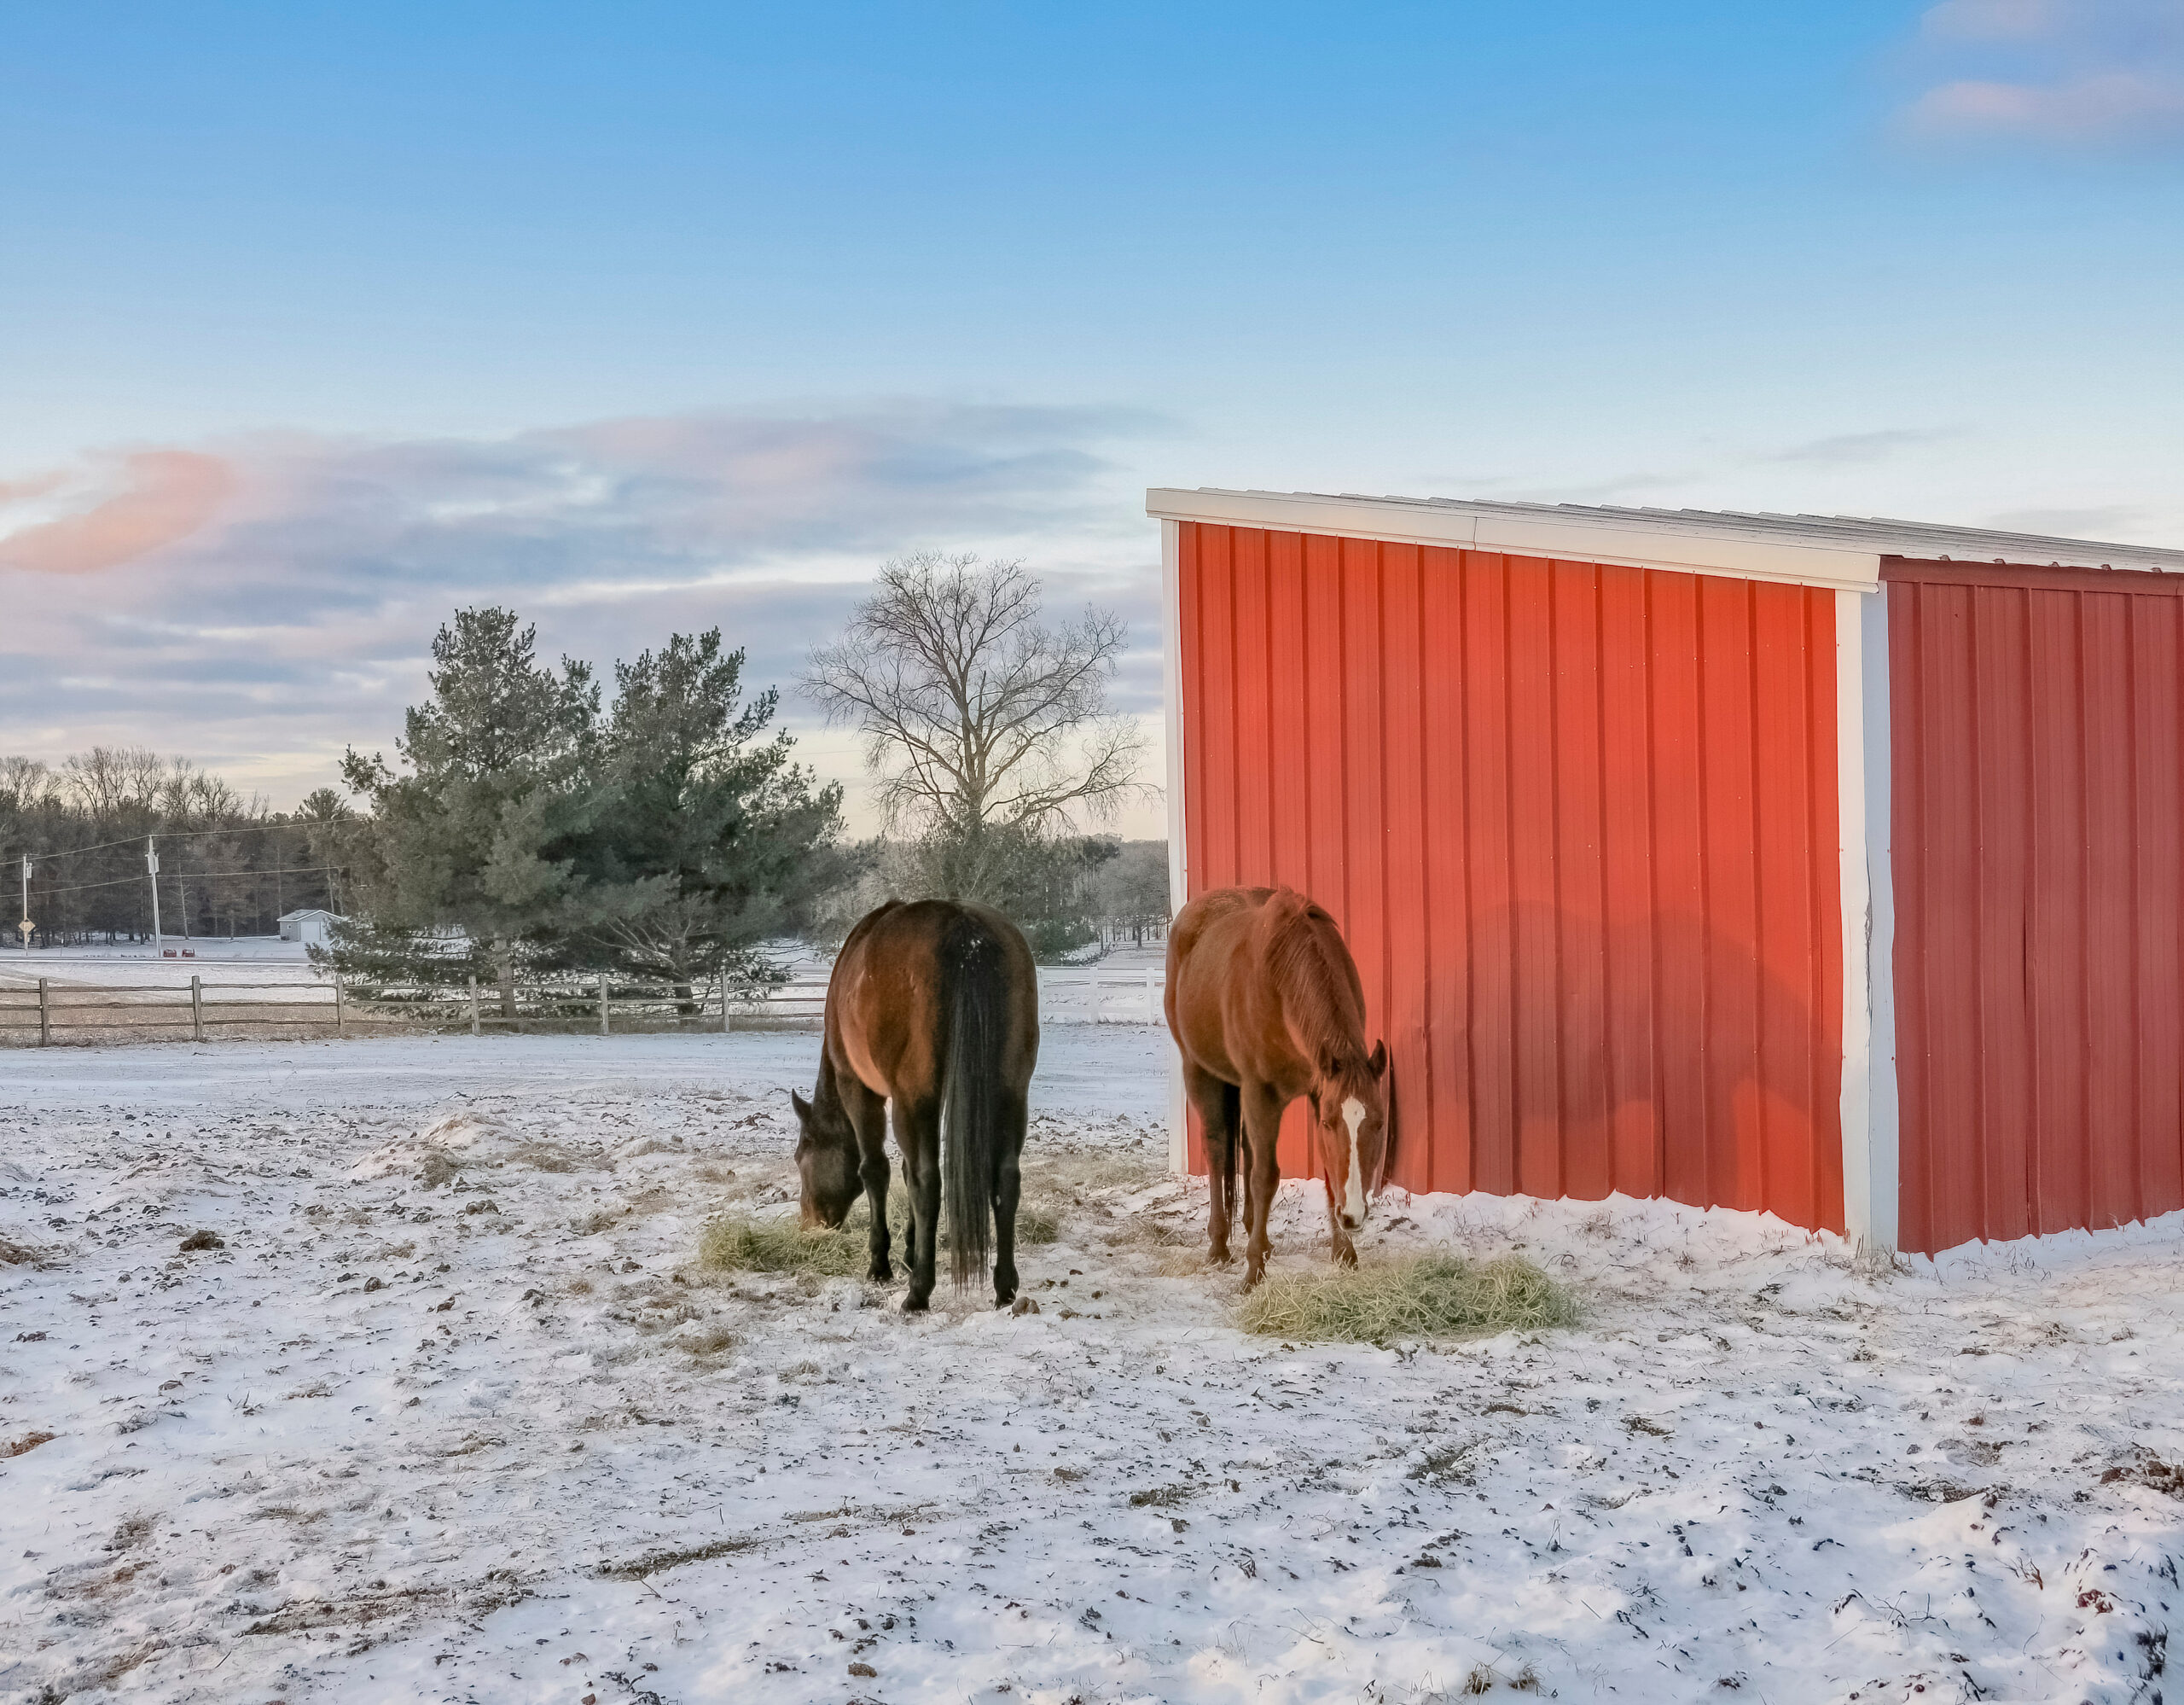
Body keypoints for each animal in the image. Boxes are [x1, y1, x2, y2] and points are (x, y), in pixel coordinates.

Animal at [791, 898, 1041, 1311]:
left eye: (800, 1158)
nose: (809, 1222)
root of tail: (964, 932)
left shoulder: (860, 1088)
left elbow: (877, 1171)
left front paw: (881, 1265)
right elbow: (906, 1173)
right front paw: (910, 1253)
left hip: (914, 1095)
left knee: (927, 1180)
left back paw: (919, 1291)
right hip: (1010, 1091)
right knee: (1006, 1178)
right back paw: (1004, 1287)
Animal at [1164, 886, 1391, 1288]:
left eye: (1379, 1124)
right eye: (1331, 1124)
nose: (1352, 1216)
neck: (1282, 979)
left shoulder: (1318, 1090)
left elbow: (1326, 1169)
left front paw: (1344, 1252)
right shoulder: (1262, 1091)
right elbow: (1264, 1177)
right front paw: (1253, 1269)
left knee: (1247, 1150)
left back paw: (1258, 1233)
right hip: (1200, 1072)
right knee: (1219, 1151)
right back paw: (1219, 1245)